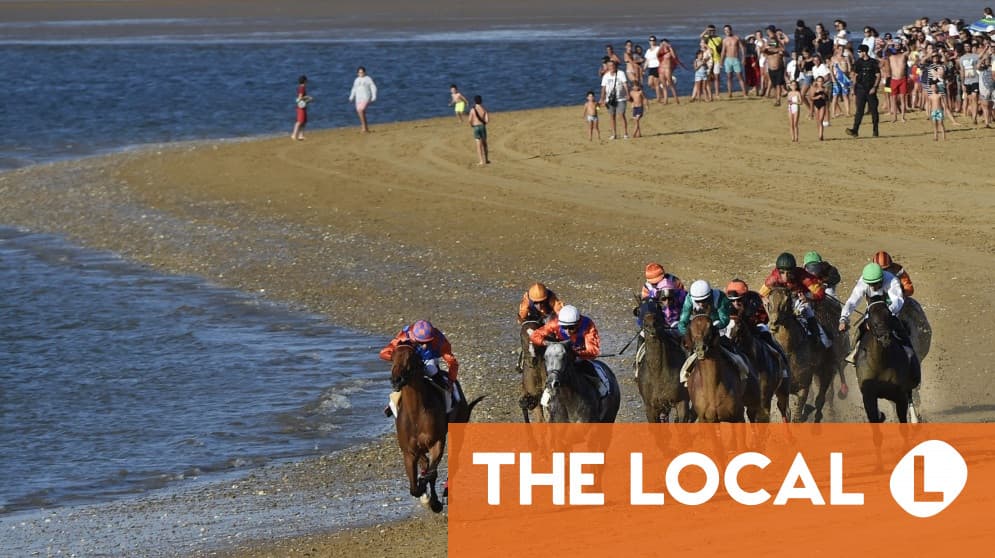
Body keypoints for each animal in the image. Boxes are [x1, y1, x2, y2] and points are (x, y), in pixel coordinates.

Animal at [390, 344, 482, 516]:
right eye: (392, 357)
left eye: (411, 357)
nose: (396, 379)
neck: (416, 413)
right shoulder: (409, 452)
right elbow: (414, 487)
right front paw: (424, 495)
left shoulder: (436, 442)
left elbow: (432, 474)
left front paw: (434, 502)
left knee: (452, 461)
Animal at [768, 288, 836, 424]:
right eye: (769, 301)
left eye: (787, 300)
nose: (773, 324)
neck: (789, 350)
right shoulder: (782, 391)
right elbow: (786, 414)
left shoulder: (803, 386)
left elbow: (797, 415)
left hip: (826, 370)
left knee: (821, 399)